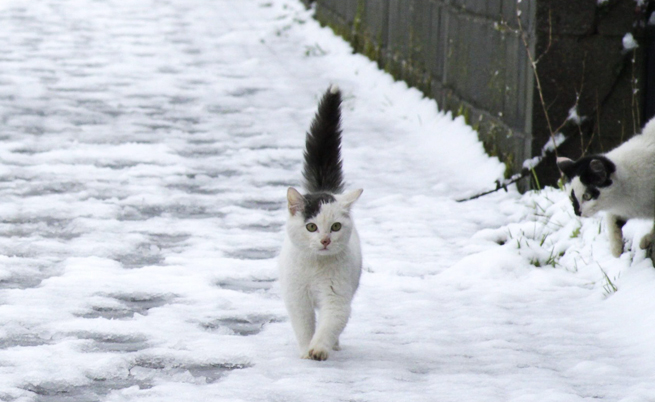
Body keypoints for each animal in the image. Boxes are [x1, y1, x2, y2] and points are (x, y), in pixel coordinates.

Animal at [280, 85, 366, 362]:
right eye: (311, 227)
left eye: (336, 227)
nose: (325, 240)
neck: (316, 268)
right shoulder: (297, 297)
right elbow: (304, 325)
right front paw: (305, 350)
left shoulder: (337, 297)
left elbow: (330, 323)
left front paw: (318, 349)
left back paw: (334, 345)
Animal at [560, 116, 655, 258]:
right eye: (571, 198)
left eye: (587, 196)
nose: (577, 212)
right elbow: (612, 221)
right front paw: (616, 251)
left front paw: (647, 239)